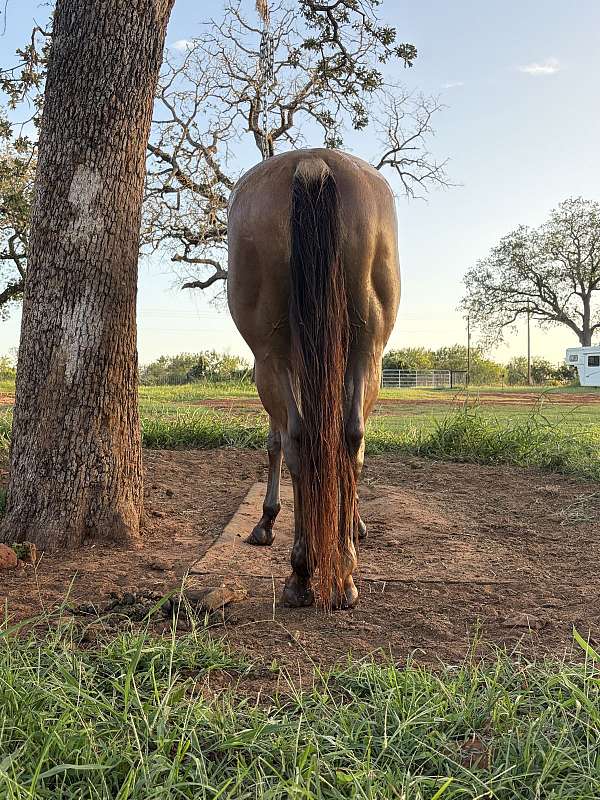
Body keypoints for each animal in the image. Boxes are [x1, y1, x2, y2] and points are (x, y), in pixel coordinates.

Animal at [227, 148, 400, 609]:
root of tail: (312, 162)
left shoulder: (274, 366)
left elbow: (273, 442)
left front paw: (266, 522)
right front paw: (354, 524)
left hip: (271, 360)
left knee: (299, 439)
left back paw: (302, 573)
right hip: (366, 351)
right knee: (349, 438)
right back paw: (343, 573)